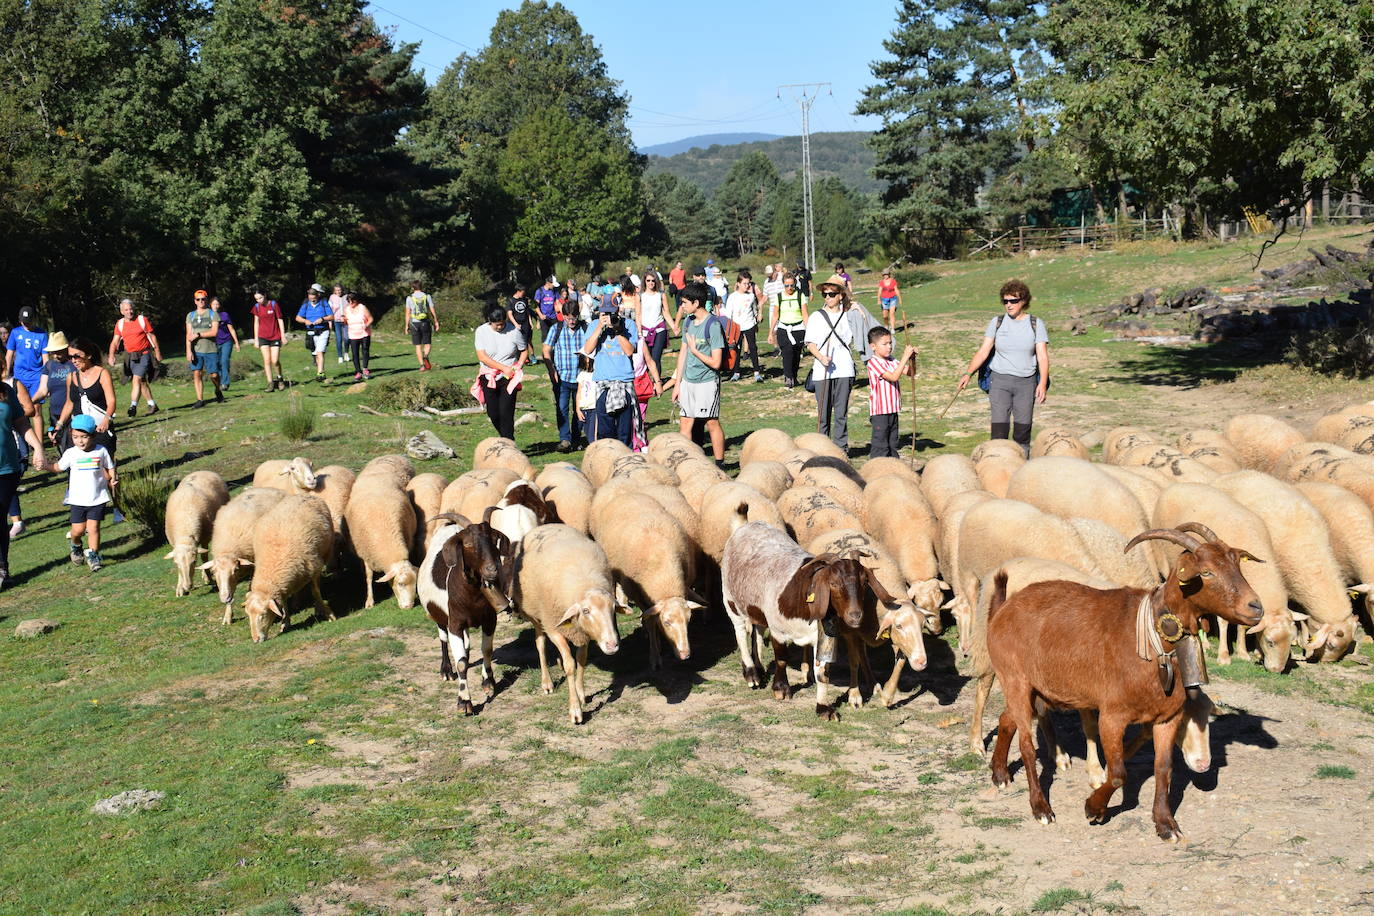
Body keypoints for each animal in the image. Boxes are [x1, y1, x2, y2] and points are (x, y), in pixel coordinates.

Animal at [162, 469, 229, 598]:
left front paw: (209, 578)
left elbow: (204, 557)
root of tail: (202, 470)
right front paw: (180, 588)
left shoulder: (204, 538)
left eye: (193, 562)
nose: (188, 586)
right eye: (177, 564)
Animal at [200, 486, 283, 623]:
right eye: (213, 572)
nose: (224, 597)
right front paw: (228, 615)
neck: (229, 549)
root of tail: (269, 488)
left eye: (235, 570)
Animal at [244, 497, 335, 642]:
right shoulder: (282, 587)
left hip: (326, 552)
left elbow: (316, 592)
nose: (256, 640)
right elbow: (284, 604)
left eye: (263, 615)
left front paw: (328, 613)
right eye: (248, 615)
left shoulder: (315, 568)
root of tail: (300, 495)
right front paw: (285, 623)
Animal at [511, 521, 623, 725]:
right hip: (537, 615)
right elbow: (571, 665)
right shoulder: (553, 627)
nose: (612, 645)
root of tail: (545, 525)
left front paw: (581, 694)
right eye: (586, 611)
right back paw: (547, 682)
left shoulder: (583, 632)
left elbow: (581, 659)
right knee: (540, 644)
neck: (584, 583)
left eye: (613, 609)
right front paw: (575, 710)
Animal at [983, 527, 1258, 840]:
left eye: (1238, 566)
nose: (1256, 607)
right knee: (1027, 744)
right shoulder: (1112, 716)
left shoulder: (1168, 717)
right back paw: (1041, 808)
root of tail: (1003, 609)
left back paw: (1000, 774)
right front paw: (1094, 808)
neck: (1153, 643)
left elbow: (1164, 768)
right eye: (1207, 572)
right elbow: (1117, 773)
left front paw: (1165, 824)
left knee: (1006, 719)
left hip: (1035, 688)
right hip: (1015, 679)